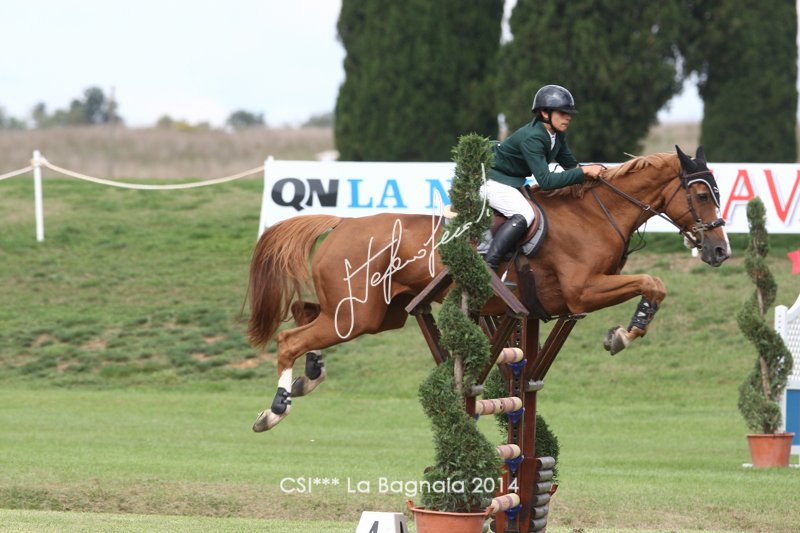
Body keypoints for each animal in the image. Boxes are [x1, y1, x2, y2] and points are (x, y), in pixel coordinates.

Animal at [246, 145, 730, 431]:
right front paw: (624, 335)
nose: (720, 250)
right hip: (358, 314)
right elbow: (652, 282)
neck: (595, 214)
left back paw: (309, 376)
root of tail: (343, 222)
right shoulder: (584, 290)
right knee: (290, 338)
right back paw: (274, 408)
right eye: (701, 195)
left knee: (306, 315)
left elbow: (654, 285)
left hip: (378, 314)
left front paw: (624, 332)